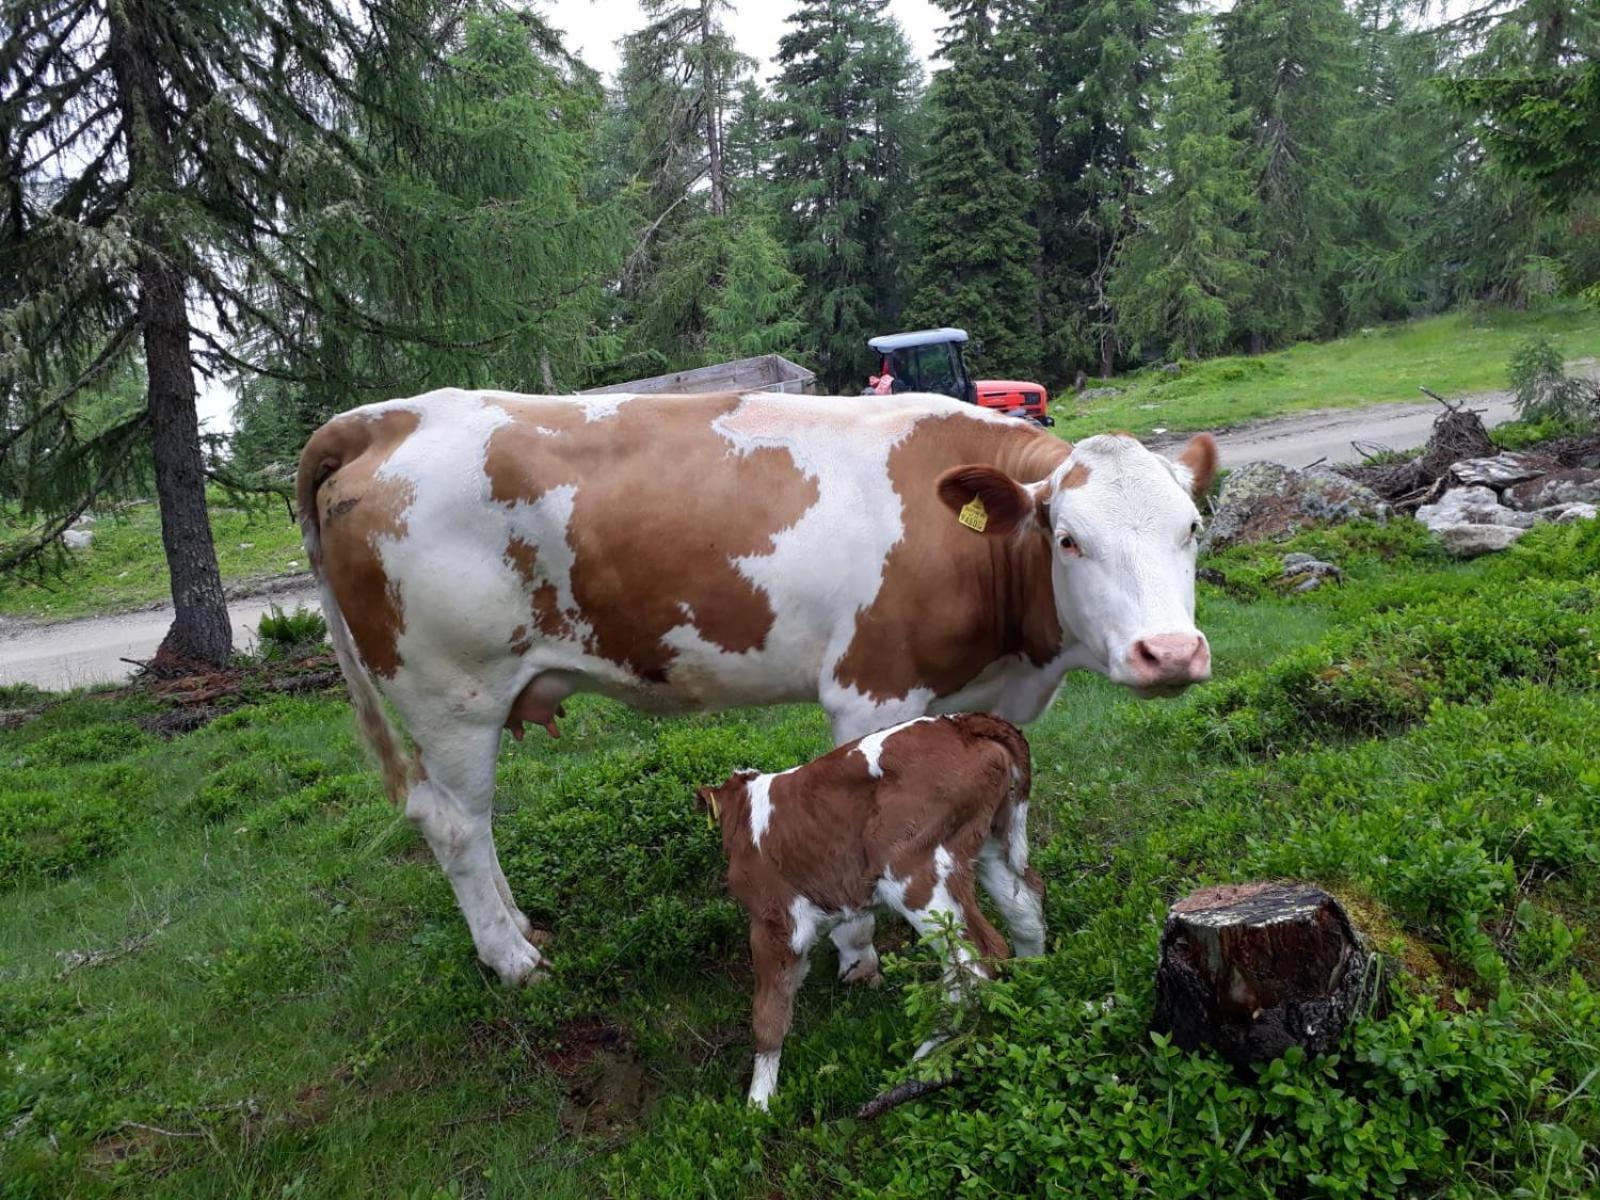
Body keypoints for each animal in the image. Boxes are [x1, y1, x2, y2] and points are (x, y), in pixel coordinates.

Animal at [297, 390, 1209, 992]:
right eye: (1069, 538)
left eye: (1193, 528)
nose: (1171, 653)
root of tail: (389, 414)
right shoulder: (868, 691)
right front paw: (858, 956)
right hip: (453, 693)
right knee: (455, 824)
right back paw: (512, 958)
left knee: (471, 827)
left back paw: (518, 923)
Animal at [694, 710, 1043, 1113]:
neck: (747, 810)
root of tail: (962, 723)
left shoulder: (774, 920)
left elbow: (769, 1010)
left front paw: (758, 1103)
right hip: (989, 846)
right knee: (1027, 912)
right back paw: (1030, 993)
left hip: (914, 870)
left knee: (976, 961)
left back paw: (921, 1064)